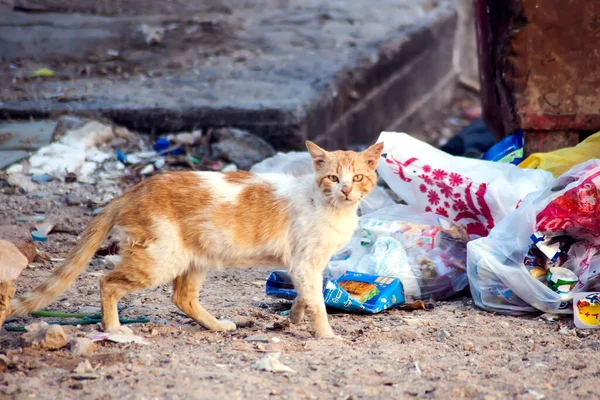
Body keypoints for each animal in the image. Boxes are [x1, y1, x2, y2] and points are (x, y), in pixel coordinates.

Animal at [11, 141, 384, 338]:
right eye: (333, 177)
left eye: (358, 177)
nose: (346, 190)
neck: (330, 207)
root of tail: (132, 189)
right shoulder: (305, 263)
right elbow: (317, 303)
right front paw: (326, 334)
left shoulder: (307, 267)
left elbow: (306, 297)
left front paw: (293, 318)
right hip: (160, 260)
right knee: (107, 281)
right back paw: (115, 328)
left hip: (195, 258)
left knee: (182, 297)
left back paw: (216, 325)